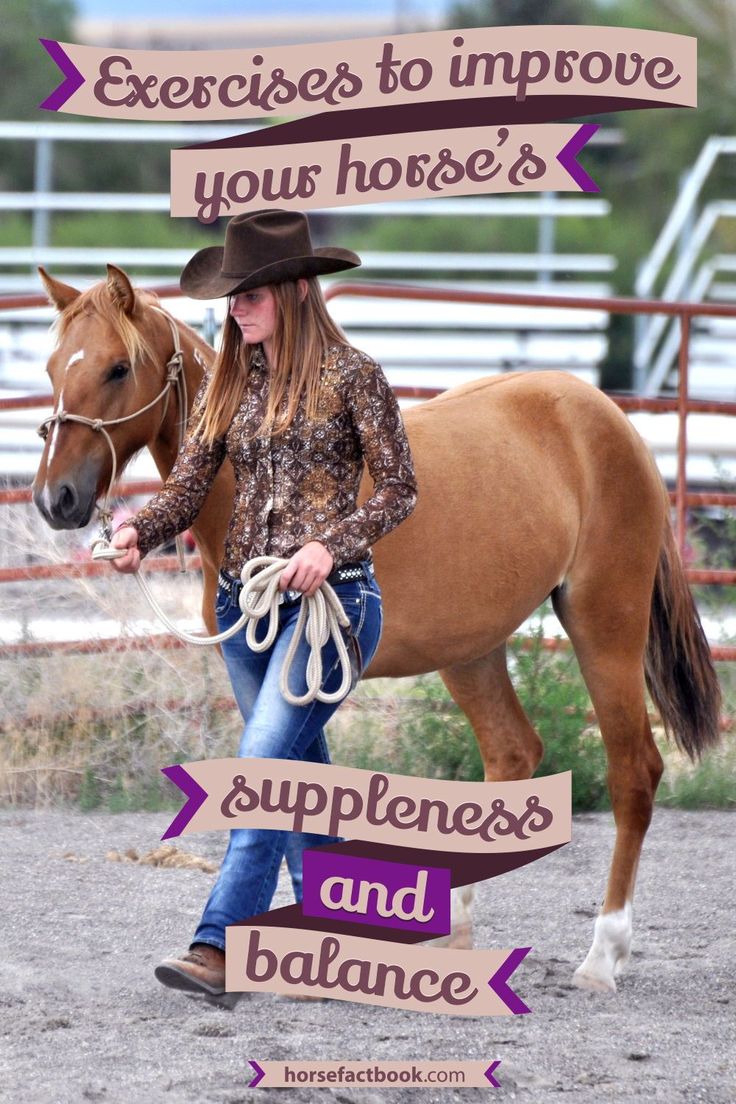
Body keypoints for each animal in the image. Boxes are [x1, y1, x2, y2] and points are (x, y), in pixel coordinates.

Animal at [33, 267, 719, 993]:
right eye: (53, 367)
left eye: (117, 367)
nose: (55, 499)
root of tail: (611, 419)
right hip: (472, 651)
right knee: (513, 754)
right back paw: (455, 933)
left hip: (605, 624)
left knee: (633, 771)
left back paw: (602, 955)